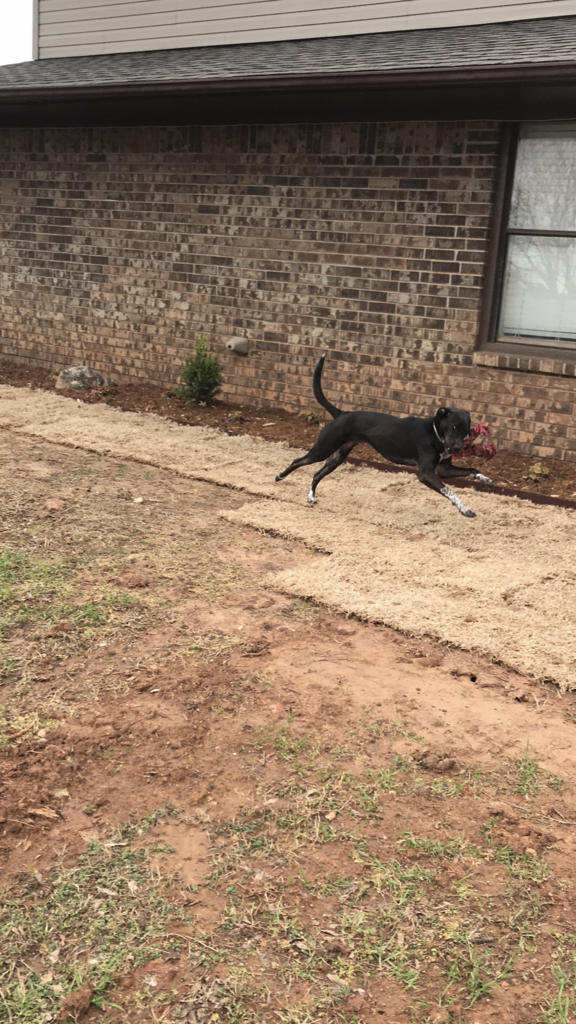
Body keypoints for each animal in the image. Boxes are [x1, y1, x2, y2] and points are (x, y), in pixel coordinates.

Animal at [275, 354, 493, 517]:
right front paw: (465, 510)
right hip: (323, 448)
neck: (435, 433)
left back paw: (310, 497)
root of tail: (341, 413)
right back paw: (280, 476)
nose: (456, 448)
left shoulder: (443, 469)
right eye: (454, 427)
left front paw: (485, 479)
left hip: (337, 456)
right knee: (298, 461)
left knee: (316, 474)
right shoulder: (426, 474)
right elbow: (450, 491)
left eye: (466, 431)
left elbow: (472, 470)